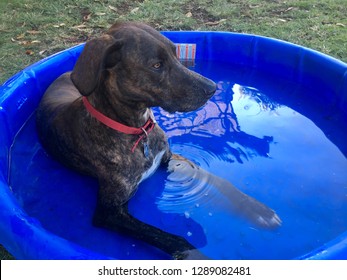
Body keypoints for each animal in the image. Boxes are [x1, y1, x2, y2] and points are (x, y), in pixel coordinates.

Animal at [36, 20, 280, 260]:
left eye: (175, 53)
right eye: (156, 65)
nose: (212, 88)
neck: (139, 129)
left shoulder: (170, 159)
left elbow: (220, 181)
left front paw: (256, 208)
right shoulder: (109, 212)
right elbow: (169, 238)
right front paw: (197, 257)